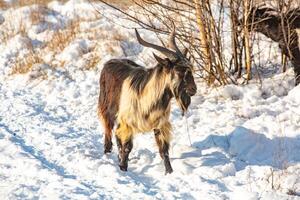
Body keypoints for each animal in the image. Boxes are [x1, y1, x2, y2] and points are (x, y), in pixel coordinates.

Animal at [98, 27, 197, 174]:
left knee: (116, 136)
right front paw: (123, 168)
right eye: (178, 71)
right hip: (106, 109)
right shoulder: (127, 122)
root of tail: (108, 63)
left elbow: (164, 150)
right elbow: (127, 147)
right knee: (109, 131)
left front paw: (169, 172)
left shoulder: (160, 125)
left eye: (190, 69)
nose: (193, 89)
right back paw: (108, 152)